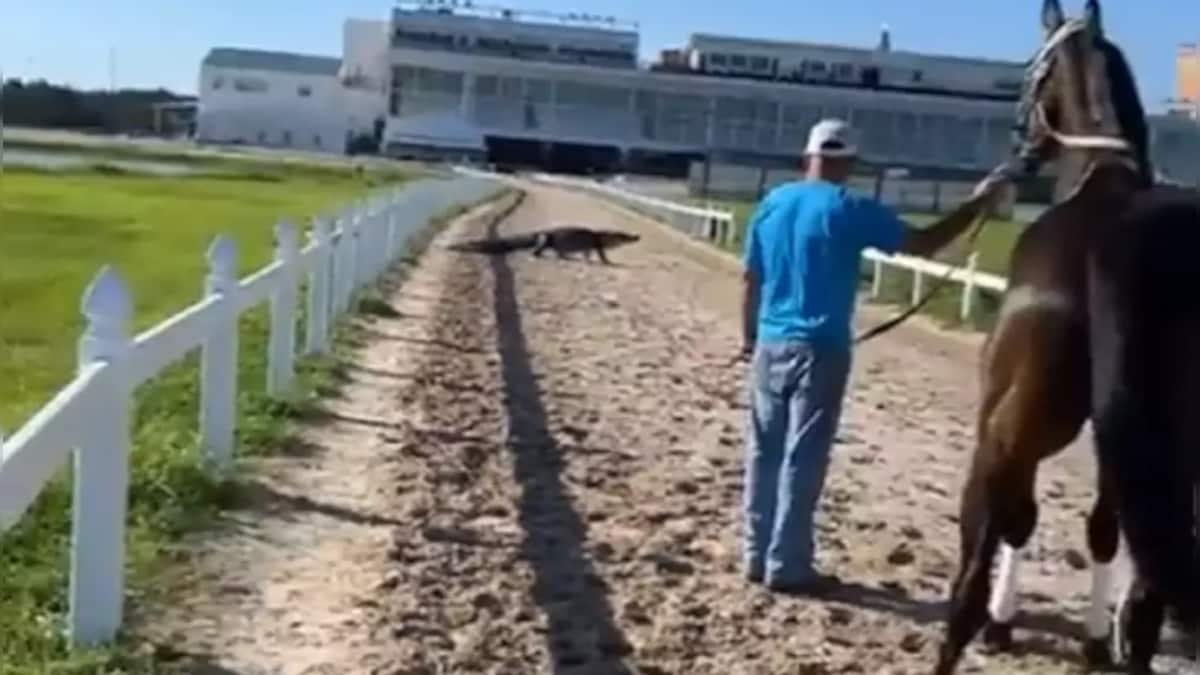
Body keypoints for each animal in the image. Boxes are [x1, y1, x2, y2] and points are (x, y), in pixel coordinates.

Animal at [940, 1, 1195, 672]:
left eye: (1033, 68)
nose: (1019, 142)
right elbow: (1101, 530)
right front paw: (1091, 636)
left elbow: (1021, 522)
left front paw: (1003, 624)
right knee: (1148, 600)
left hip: (1010, 435)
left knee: (966, 590)